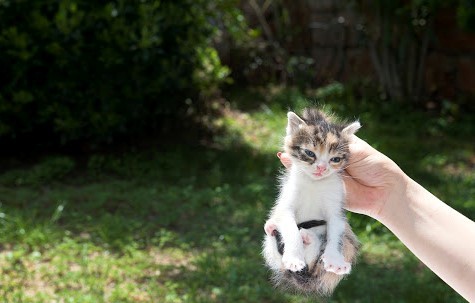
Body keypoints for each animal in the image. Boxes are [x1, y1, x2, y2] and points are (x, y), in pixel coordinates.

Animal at [262, 108, 358, 296]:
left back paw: (309, 239)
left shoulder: (337, 210)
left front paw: (334, 259)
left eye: (335, 159)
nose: (321, 168)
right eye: (310, 153)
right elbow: (290, 229)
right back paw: (274, 228)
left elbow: (336, 234)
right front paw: (293, 257)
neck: (314, 183)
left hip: (346, 247)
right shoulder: (286, 203)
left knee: (314, 263)